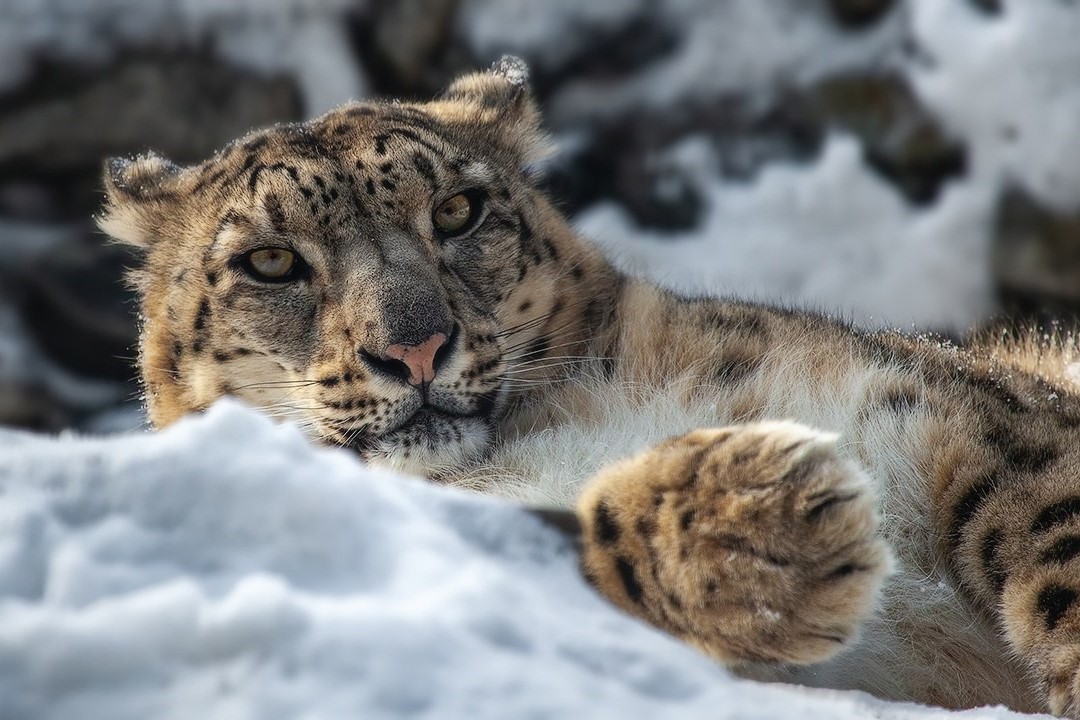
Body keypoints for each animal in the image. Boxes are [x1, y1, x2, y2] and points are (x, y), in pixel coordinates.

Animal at [98, 56, 1080, 717]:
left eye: (457, 210)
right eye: (270, 262)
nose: (415, 348)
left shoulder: (950, 414)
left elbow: (1052, 537)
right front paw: (764, 517)